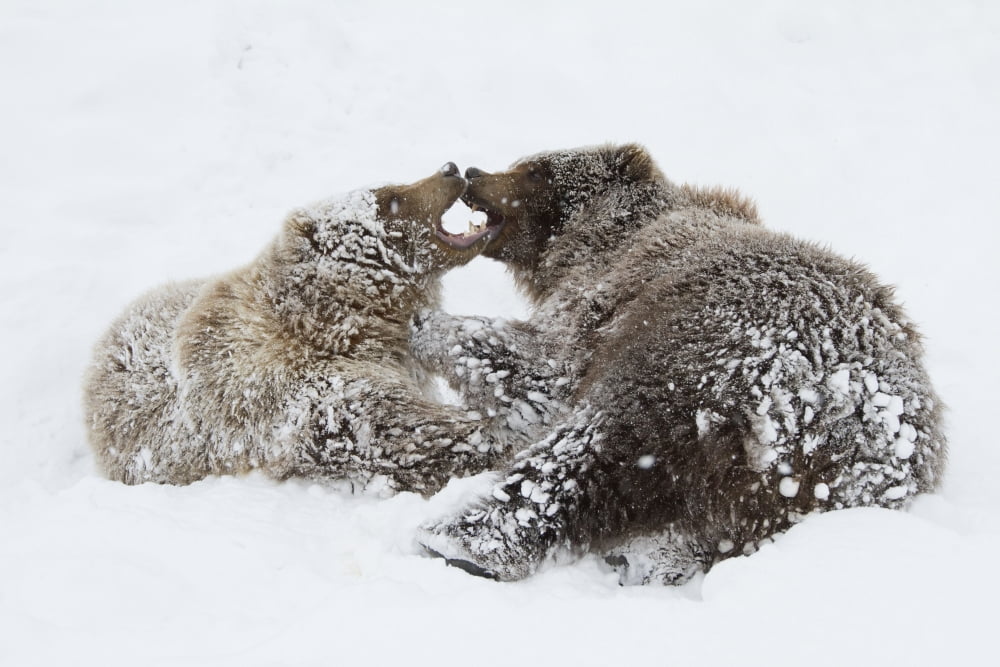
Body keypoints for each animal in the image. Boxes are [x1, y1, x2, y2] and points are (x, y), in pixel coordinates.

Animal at [410, 144, 947, 583]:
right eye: (524, 162)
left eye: (536, 170)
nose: (475, 172)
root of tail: (829, 406)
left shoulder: (599, 309)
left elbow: (539, 374)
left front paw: (421, 323)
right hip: (817, 488)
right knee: (723, 524)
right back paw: (651, 557)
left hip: (691, 363)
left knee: (595, 446)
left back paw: (461, 542)